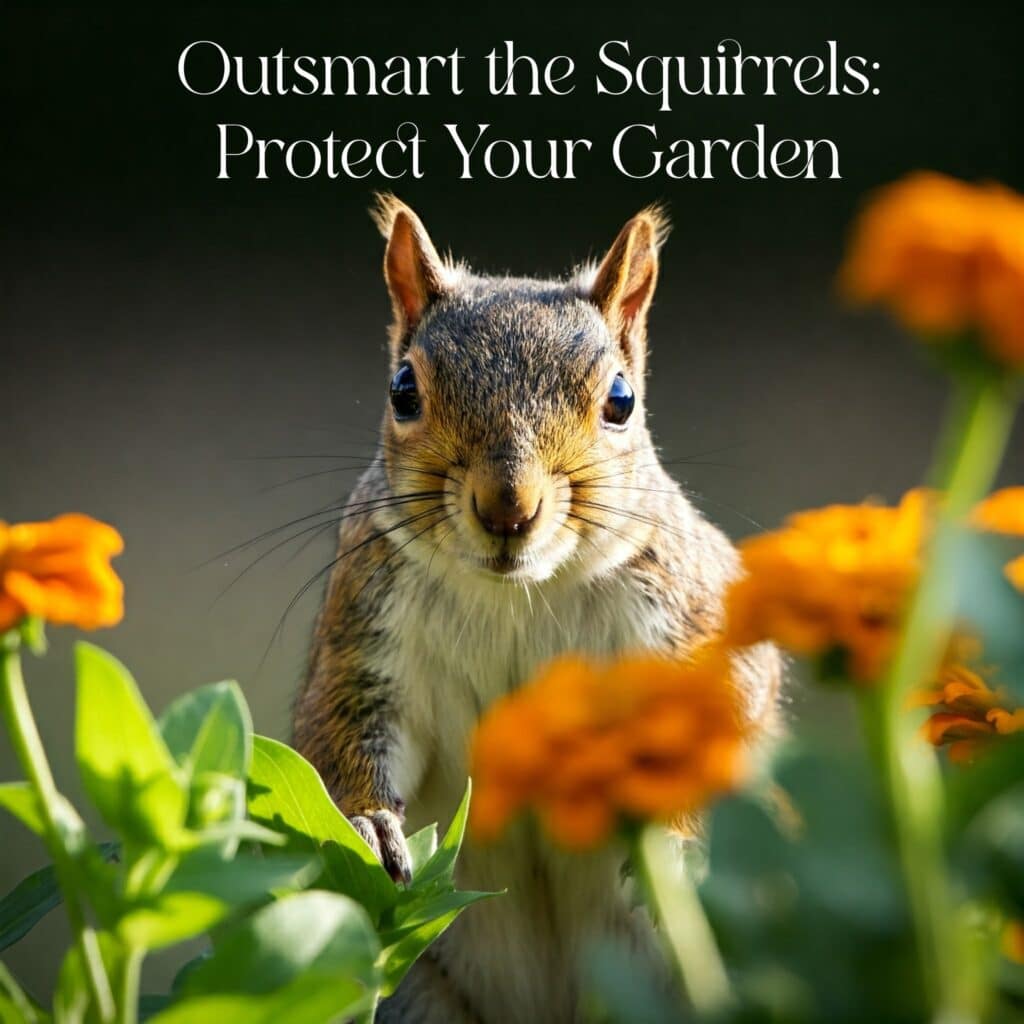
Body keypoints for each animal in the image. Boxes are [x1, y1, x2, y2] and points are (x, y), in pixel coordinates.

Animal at [293, 196, 781, 1024]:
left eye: (621, 401)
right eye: (402, 390)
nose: (507, 507)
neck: (517, 595)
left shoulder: (692, 622)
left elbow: (727, 717)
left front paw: (681, 846)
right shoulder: (363, 639)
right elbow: (341, 731)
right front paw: (370, 824)